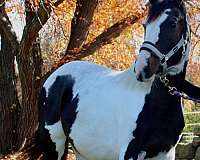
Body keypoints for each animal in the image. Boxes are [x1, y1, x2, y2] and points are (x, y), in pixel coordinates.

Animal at [36, 0, 192, 159]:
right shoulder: (129, 152)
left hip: (81, 150)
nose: (142, 68)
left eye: (173, 23)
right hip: (55, 143)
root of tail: (53, 77)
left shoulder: (166, 153)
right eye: (145, 25)